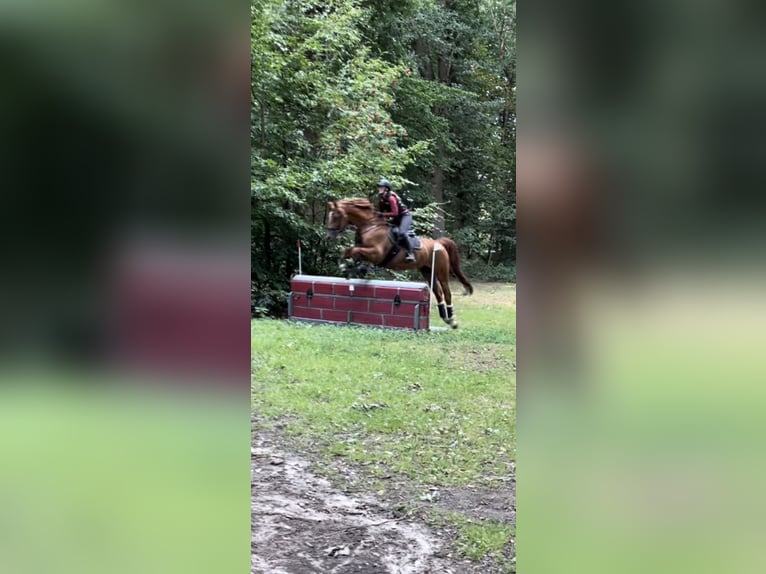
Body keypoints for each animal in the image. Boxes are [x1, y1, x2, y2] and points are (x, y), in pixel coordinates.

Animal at [325, 198, 473, 329]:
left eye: (336, 216)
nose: (328, 236)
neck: (370, 226)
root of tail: (439, 243)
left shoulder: (376, 254)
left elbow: (354, 250)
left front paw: (351, 268)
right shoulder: (365, 251)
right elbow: (347, 251)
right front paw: (349, 268)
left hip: (441, 271)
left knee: (447, 292)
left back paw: (452, 320)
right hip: (427, 271)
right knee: (438, 292)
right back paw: (445, 318)